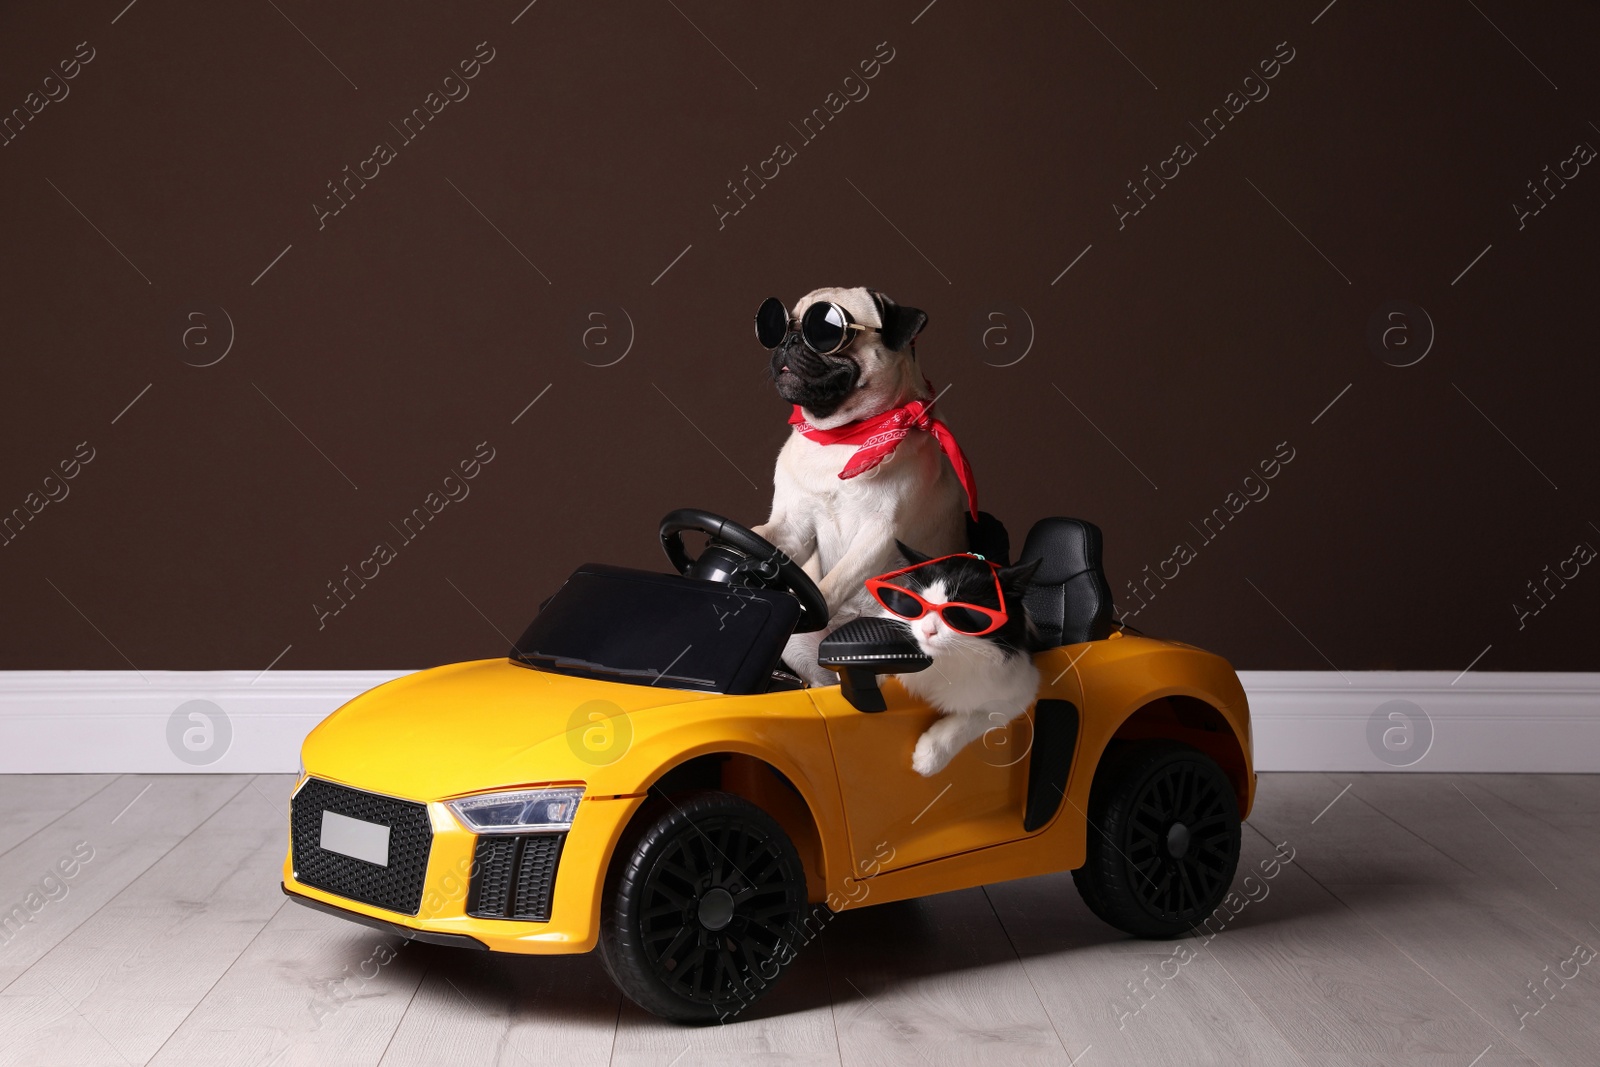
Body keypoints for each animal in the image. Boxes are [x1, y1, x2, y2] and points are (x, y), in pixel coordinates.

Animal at [752, 286, 966, 684]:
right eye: (779, 326)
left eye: (825, 331)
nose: (788, 339)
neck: (842, 437)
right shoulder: (791, 526)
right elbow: (767, 537)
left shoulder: (880, 533)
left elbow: (835, 581)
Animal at [870, 543, 1043, 777]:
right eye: (915, 605)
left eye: (961, 612)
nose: (927, 630)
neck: (944, 660)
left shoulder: (1020, 692)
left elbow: (969, 720)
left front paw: (931, 755)